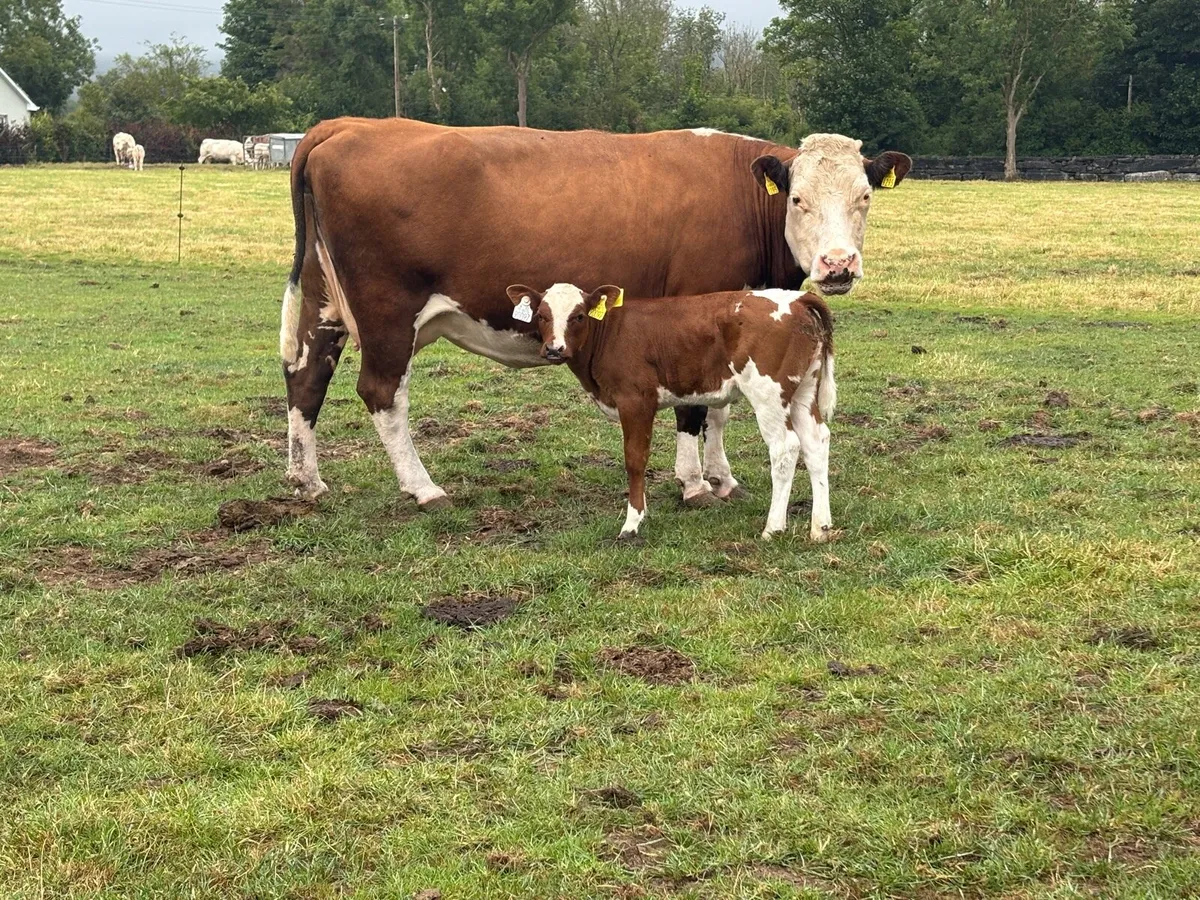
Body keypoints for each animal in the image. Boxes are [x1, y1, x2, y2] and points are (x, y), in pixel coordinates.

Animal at [280, 119, 910, 510]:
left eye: (865, 197)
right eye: (798, 199)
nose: (837, 265)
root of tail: (351, 125)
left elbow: (720, 407)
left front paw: (722, 477)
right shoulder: (696, 308)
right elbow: (695, 408)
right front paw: (694, 484)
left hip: (322, 297)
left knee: (306, 374)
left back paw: (307, 479)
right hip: (388, 312)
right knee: (382, 393)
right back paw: (423, 488)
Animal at [506, 283, 836, 541]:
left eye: (578, 316)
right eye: (541, 315)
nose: (554, 349)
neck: (610, 333)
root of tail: (798, 299)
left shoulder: (636, 401)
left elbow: (635, 460)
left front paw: (632, 523)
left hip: (768, 394)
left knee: (785, 449)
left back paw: (773, 528)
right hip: (804, 390)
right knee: (816, 442)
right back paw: (820, 527)